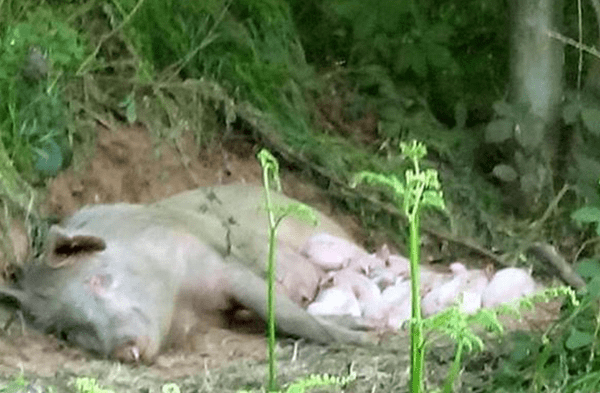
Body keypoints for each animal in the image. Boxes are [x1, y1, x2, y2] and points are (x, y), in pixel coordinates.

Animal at [0, 184, 376, 362]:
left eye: (99, 281)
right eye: (66, 330)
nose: (123, 350)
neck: (184, 303)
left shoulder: (220, 265)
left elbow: (284, 313)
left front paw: (369, 336)